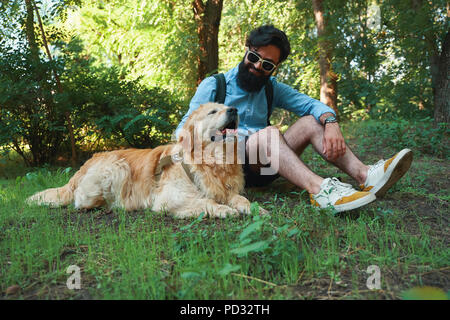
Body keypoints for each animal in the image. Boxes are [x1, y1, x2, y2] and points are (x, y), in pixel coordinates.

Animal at [27, 102, 268, 218]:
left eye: (227, 106)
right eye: (213, 111)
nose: (234, 110)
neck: (213, 163)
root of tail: (85, 165)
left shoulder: (226, 190)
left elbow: (239, 199)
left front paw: (254, 208)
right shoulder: (170, 199)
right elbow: (205, 202)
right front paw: (223, 210)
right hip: (117, 167)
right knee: (82, 202)